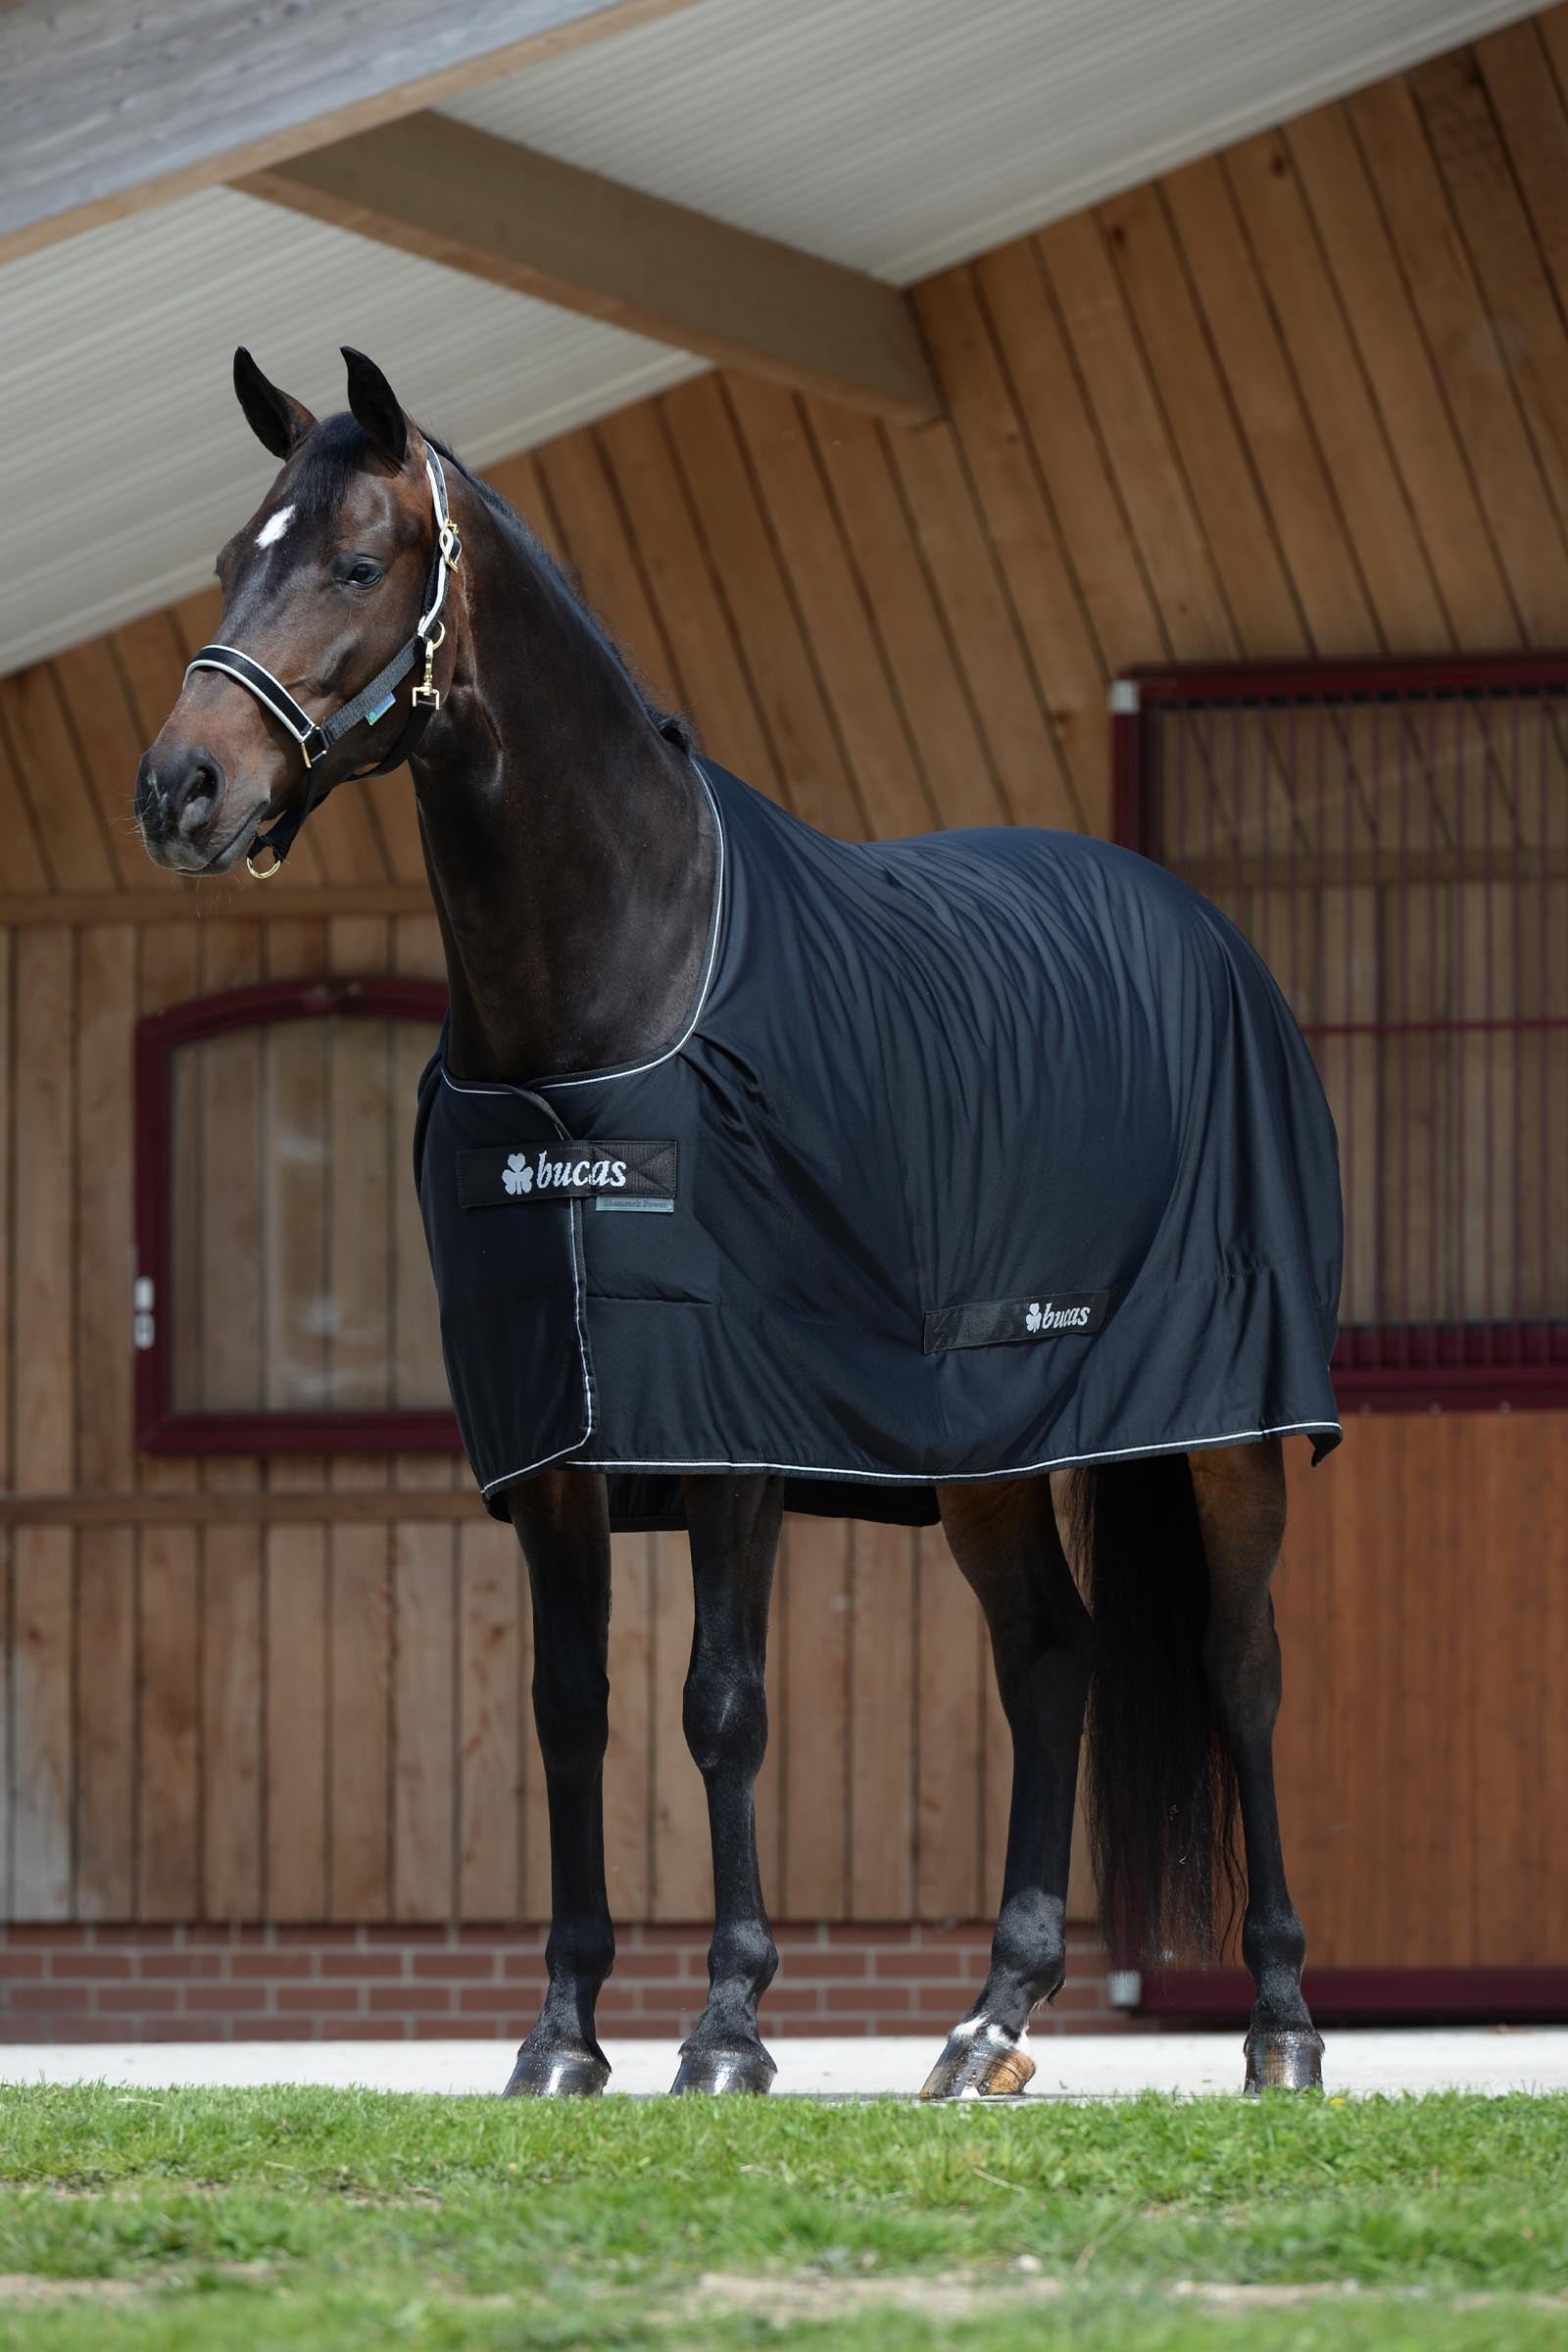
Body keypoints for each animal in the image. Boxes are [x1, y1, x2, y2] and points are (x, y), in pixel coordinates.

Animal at [133, 346, 1340, 2101]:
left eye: (357, 565)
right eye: (236, 557)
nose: (179, 790)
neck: (609, 997)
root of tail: (1199, 933)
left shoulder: (732, 1429)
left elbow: (723, 1706)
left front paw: (726, 2029)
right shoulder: (556, 1438)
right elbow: (572, 1711)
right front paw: (562, 2036)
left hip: (1228, 1424)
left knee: (1241, 1675)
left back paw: (1282, 2028)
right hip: (985, 1443)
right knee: (1052, 1658)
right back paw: (988, 2024)